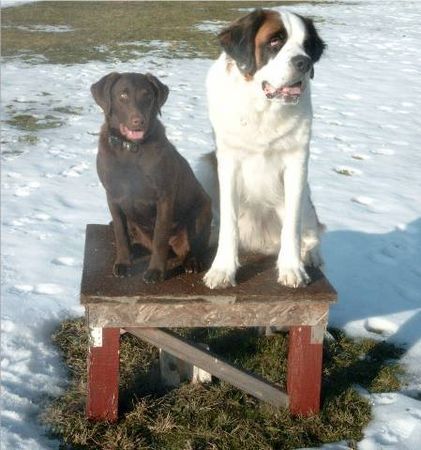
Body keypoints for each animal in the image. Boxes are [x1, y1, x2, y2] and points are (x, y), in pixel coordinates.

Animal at [90, 72, 212, 284]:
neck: (130, 150)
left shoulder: (164, 197)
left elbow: (160, 238)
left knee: (194, 245)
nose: (138, 121)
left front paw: (155, 271)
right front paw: (123, 263)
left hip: (203, 209)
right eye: (123, 95)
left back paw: (192, 261)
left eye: (147, 96)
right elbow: (120, 233)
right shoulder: (112, 196)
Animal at [203, 8, 324, 290]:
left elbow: (293, 223)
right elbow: (229, 221)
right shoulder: (228, 162)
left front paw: (292, 268)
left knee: (311, 231)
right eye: (274, 42)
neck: (263, 110)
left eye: (307, 46)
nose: (304, 63)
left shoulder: (297, 163)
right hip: (204, 166)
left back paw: (310, 255)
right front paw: (223, 269)